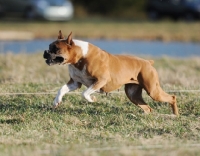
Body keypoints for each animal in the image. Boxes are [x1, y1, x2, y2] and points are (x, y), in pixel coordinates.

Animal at [43, 30, 179, 116]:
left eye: (56, 49)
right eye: (49, 47)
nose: (45, 52)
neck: (81, 57)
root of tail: (147, 62)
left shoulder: (101, 80)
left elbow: (85, 93)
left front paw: (92, 99)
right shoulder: (75, 83)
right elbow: (61, 89)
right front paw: (56, 102)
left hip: (153, 91)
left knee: (172, 97)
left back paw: (175, 115)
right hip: (133, 94)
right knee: (148, 108)